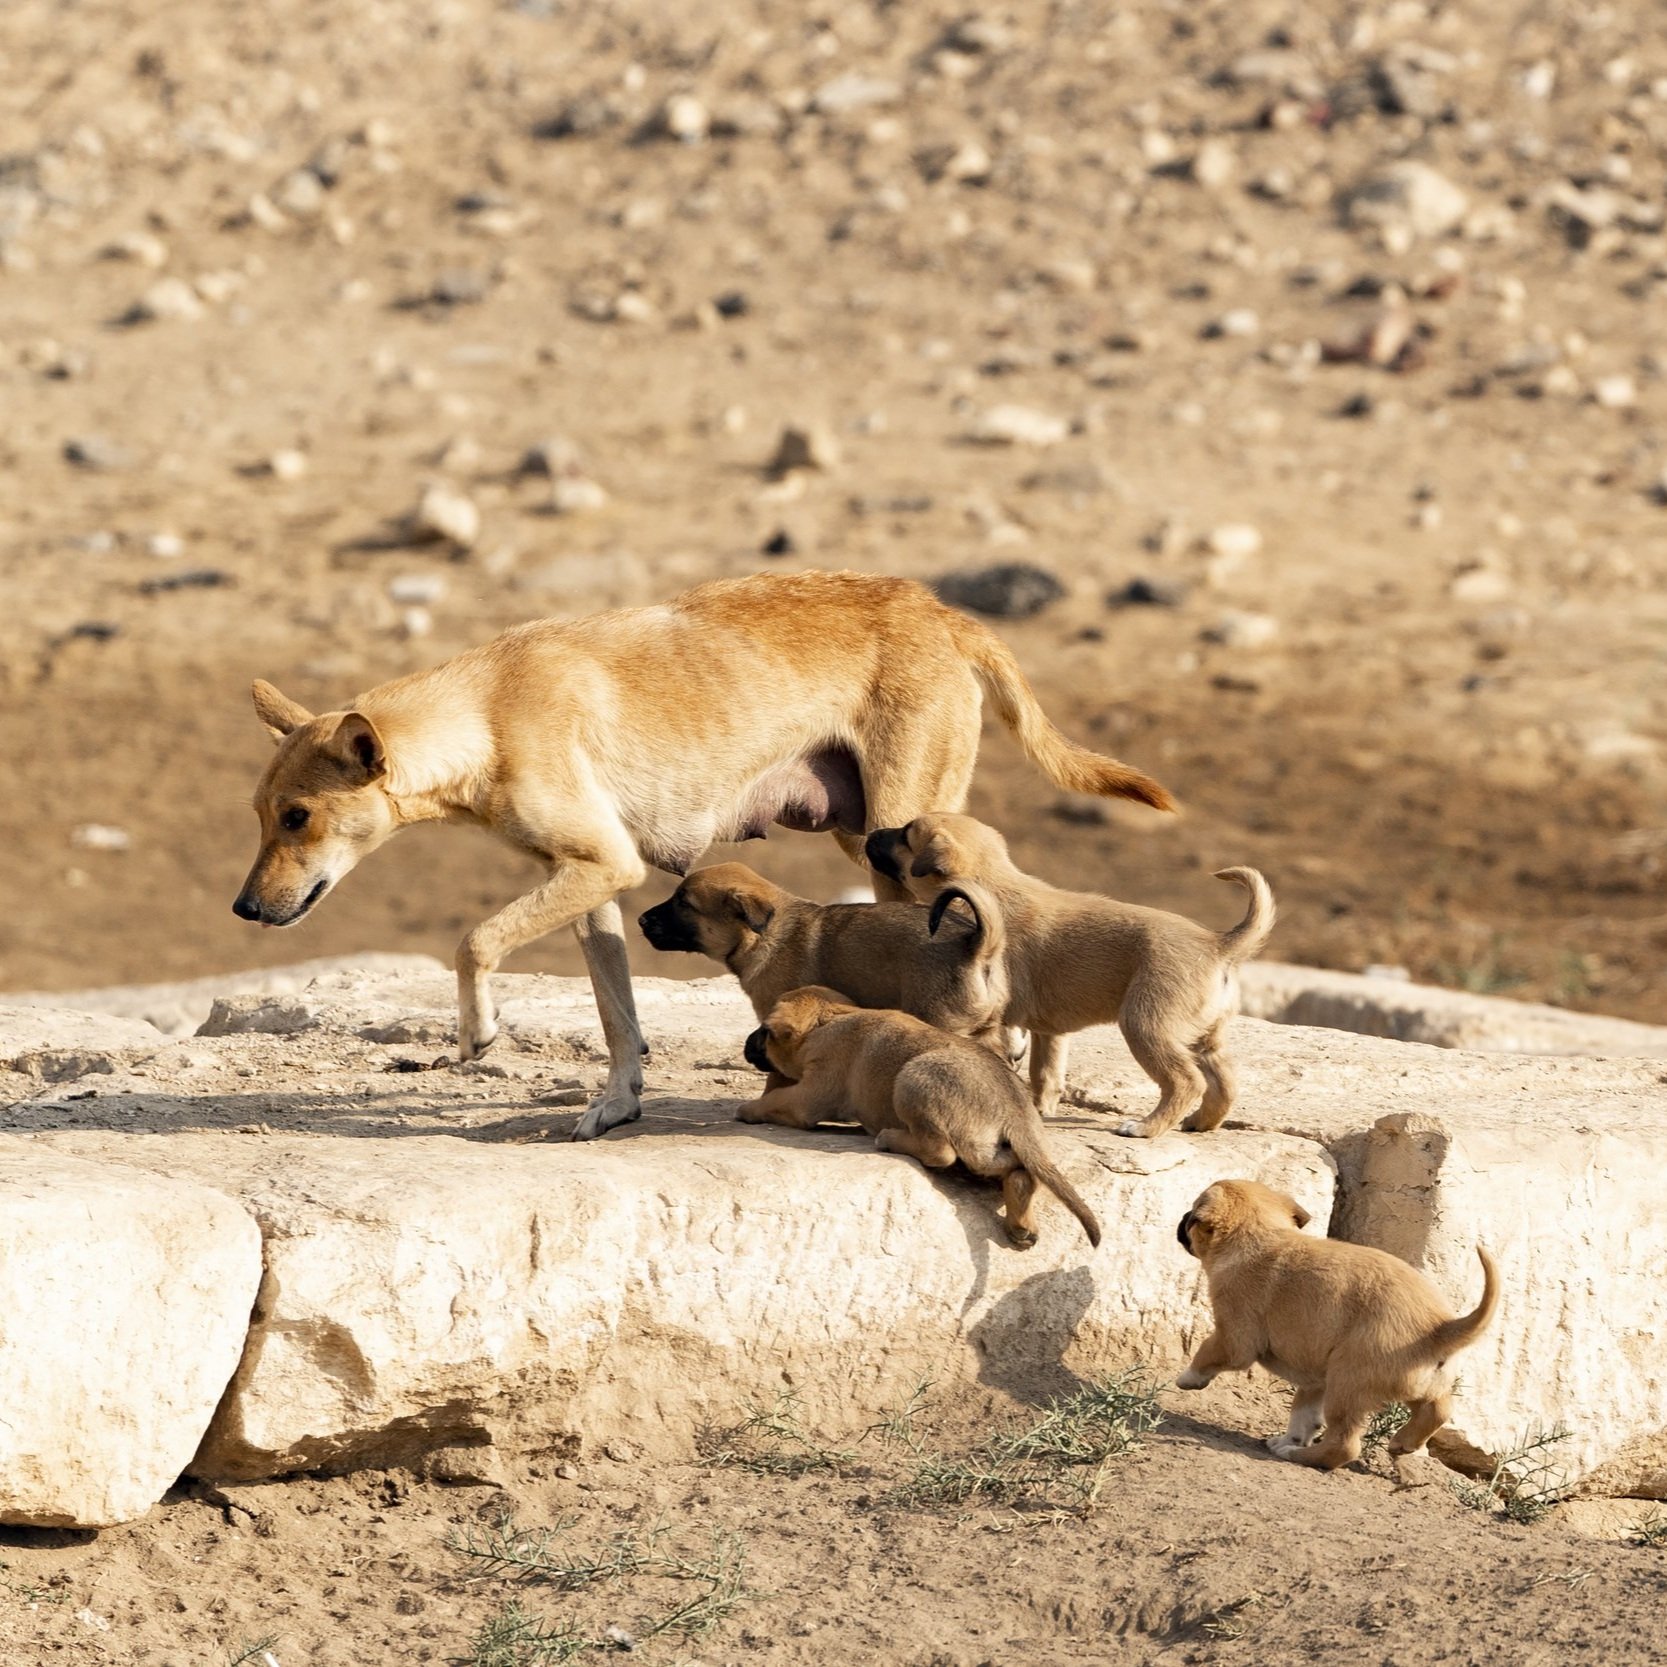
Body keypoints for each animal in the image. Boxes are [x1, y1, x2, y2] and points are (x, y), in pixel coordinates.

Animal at [736, 980, 1100, 1246]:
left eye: (765, 1031)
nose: (746, 1045)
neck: (831, 1018)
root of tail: (1016, 1113)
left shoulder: (809, 1095)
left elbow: (775, 1099)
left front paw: (747, 1109)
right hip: (1007, 1148)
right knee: (1019, 1171)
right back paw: (1021, 1221)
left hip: (913, 1078)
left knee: (942, 1152)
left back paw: (890, 1138)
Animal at [866, 810, 1266, 1146]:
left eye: (905, 835)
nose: (870, 833)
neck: (993, 887)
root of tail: (1218, 945)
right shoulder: (1049, 1030)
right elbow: (1045, 1074)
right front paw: (1040, 1109)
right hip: (1205, 1036)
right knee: (1225, 1083)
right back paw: (1201, 1123)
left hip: (1146, 1025)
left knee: (1186, 1081)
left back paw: (1145, 1127)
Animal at [1173, 1173, 1500, 1473]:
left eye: (1192, 1215)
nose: (1183, 1218)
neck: (1259, 1233)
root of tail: (1440, 1329)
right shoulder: (1315, 1379)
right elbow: (1303, 1416)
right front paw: (1289, 1439)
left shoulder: (1234, 1338)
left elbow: (1206, 1352)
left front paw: (1187, 1378)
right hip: (1413, 1386)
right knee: (1438, 1410)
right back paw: (1401, 1442)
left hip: (1347, 1386)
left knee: (1344, 1445)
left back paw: (1298, 1456)